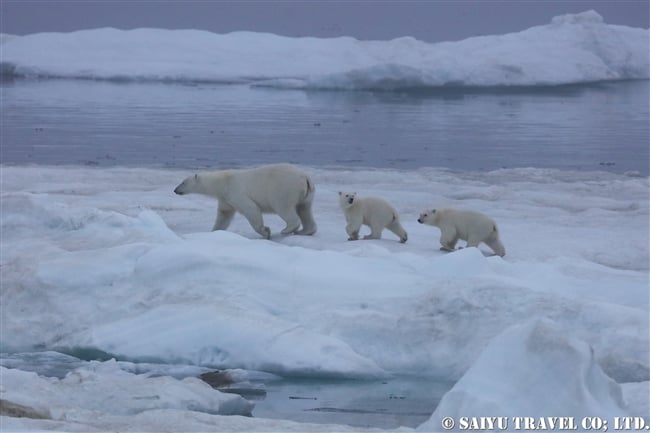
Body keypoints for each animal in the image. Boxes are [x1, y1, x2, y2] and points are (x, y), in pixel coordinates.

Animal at [171, 162, 316, 238]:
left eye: (183, 182)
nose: (175, 190)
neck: (223, 182)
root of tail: (305, 177)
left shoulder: (236, 191)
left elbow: (251, 209)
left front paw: (266, 231)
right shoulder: (225, 198)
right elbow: (224, 215)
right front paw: (214, 232)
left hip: (284, 189)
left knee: (284, 208)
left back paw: (286, 229)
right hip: (307, 195)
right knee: (305, 209)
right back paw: (306, 231)